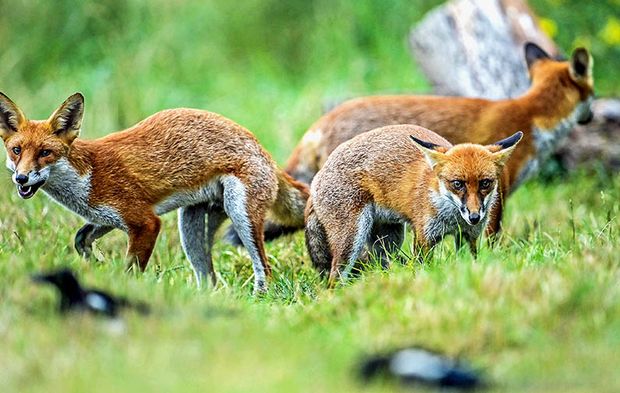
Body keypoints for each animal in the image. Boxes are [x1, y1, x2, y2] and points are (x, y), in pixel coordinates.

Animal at [0, 93, 310, 292]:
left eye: (45, 153)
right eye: (16, 150)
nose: (21, 178)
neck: (88, 176)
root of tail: (262, 149)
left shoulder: (145, 222)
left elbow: (131, 270)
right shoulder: (106, 216)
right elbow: (80, 238)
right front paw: (97, 264)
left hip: (241, 215)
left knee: (264, 270)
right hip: (192, 229)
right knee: (209, 280)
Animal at [280, 43, 592, 239]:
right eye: (594, 94)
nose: (590, 118)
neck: (530, 116)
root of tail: (319, 124)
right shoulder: (496, 190)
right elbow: (491, 234)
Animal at [306, 124, 524, 284]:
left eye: (485, 183)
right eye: (457, 184)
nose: (474, 217)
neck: (451, 217)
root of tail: (317, 176)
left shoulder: (468, 236)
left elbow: (469, 263)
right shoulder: (424, 237)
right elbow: (423, 268)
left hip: (389, 240)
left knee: (379, 264)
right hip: (351, 241)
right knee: (334, 278)